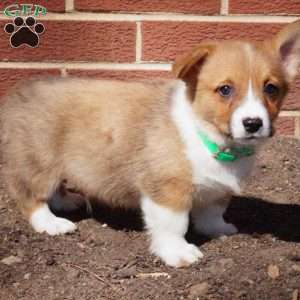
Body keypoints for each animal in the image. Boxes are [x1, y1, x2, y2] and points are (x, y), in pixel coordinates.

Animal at [0, 20, 300, 268]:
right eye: (225, 89)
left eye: (271, 88)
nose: (253, 123)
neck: (208, 136)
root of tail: (15, 96)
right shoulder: (168, 191)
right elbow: (174, 225)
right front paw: (179, 253)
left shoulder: (217, 191)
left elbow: (212, 212)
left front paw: (218, 229)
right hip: (39, 161)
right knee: (31, 195)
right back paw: (50, 222)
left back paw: (65, 202)